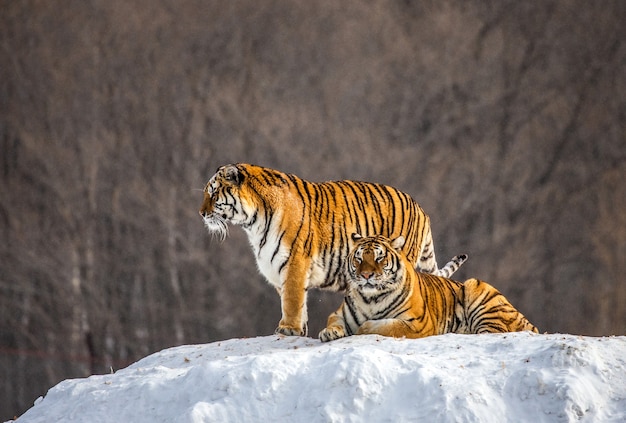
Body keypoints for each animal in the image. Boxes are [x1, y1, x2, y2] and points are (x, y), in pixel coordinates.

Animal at [197, 164, 466, 336]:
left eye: (213, 193)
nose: (201, 213)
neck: (252, 222)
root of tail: (421, 209)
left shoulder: (294, 261)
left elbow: (292, 299)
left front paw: (287, 329)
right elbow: (295, 301)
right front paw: (300, 329)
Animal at [316, 234, 536, 342]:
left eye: (379, 258)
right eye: (359, 258)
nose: (366, 275)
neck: (371, 298)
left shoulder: (418, 323)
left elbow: (386, 325)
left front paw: (363, 328)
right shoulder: (340, 314)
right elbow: (333, 321)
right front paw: (329, 333)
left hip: (477, 289)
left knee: (493, 331)